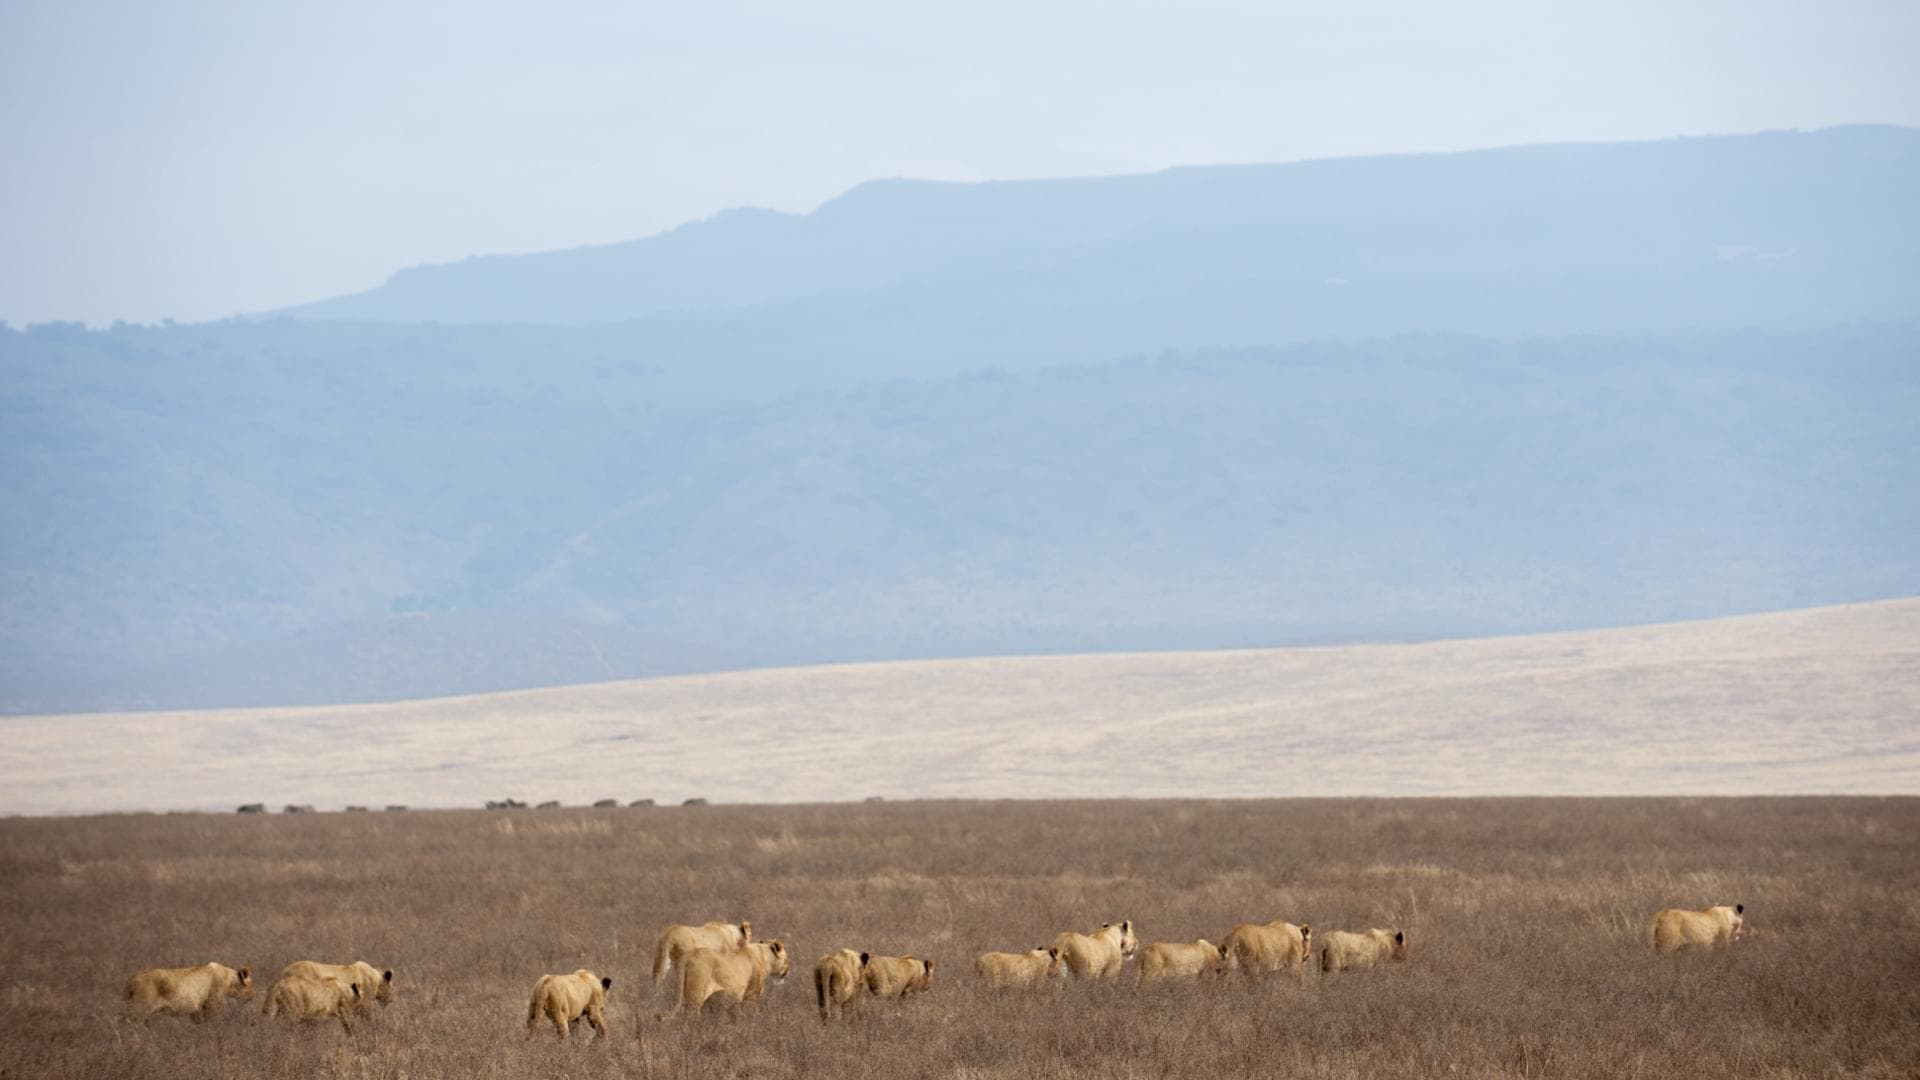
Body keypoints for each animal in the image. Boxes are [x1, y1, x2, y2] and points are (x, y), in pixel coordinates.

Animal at [124, 962, 252, 1022]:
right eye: (251, 985)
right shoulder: (212, 1006)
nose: (253, 996)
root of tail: (131, 980)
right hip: (139, 1010)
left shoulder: (197, 1011)